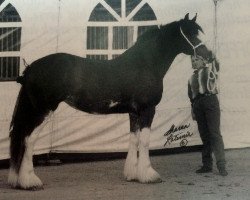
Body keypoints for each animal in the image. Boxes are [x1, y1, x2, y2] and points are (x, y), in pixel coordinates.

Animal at [8, 13, 213, 189]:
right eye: (191, 34)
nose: (210, 55)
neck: (145, 63)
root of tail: (31, 68)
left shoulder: (134, 112)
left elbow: (134, 140)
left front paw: (132, 174)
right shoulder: (147, 109)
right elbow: (145, 141)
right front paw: (149, 175)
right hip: (42, 110)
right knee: (28, 139)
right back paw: (30, 181)